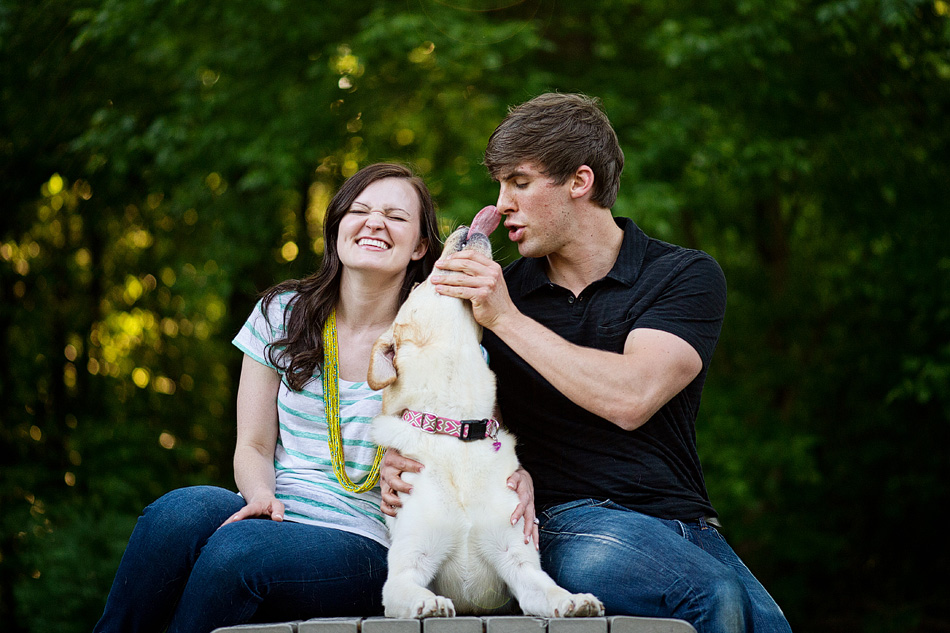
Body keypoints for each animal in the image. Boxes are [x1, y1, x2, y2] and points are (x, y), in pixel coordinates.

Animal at [368, 206, 608, 616]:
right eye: (419, 286)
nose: (468, 224)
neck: (458, 427)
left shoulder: (518, 560)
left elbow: (548, 590)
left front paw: (575, 600)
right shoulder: (405, 568)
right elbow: (410, 590)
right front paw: (429, 603)